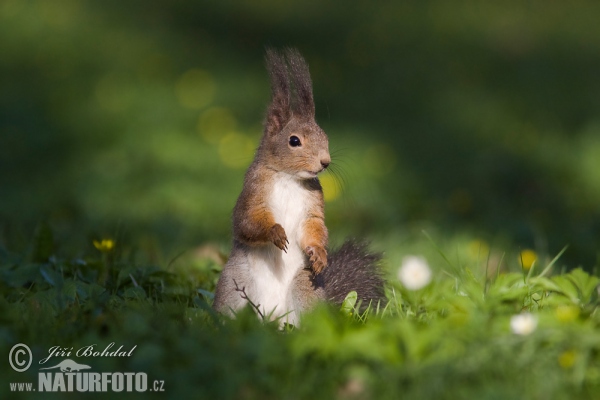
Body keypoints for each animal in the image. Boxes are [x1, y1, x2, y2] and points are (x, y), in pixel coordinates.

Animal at [213, 49, 386, 324]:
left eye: (325, 137)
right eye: (294, 141)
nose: (325, 162)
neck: (289, 178)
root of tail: (270, 319)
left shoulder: (312, 206)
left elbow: (314, 227)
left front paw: (319, 254)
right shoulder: (252, 192)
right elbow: (247, 222)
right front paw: (274, 231)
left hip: (305, 287)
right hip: (234, 283)